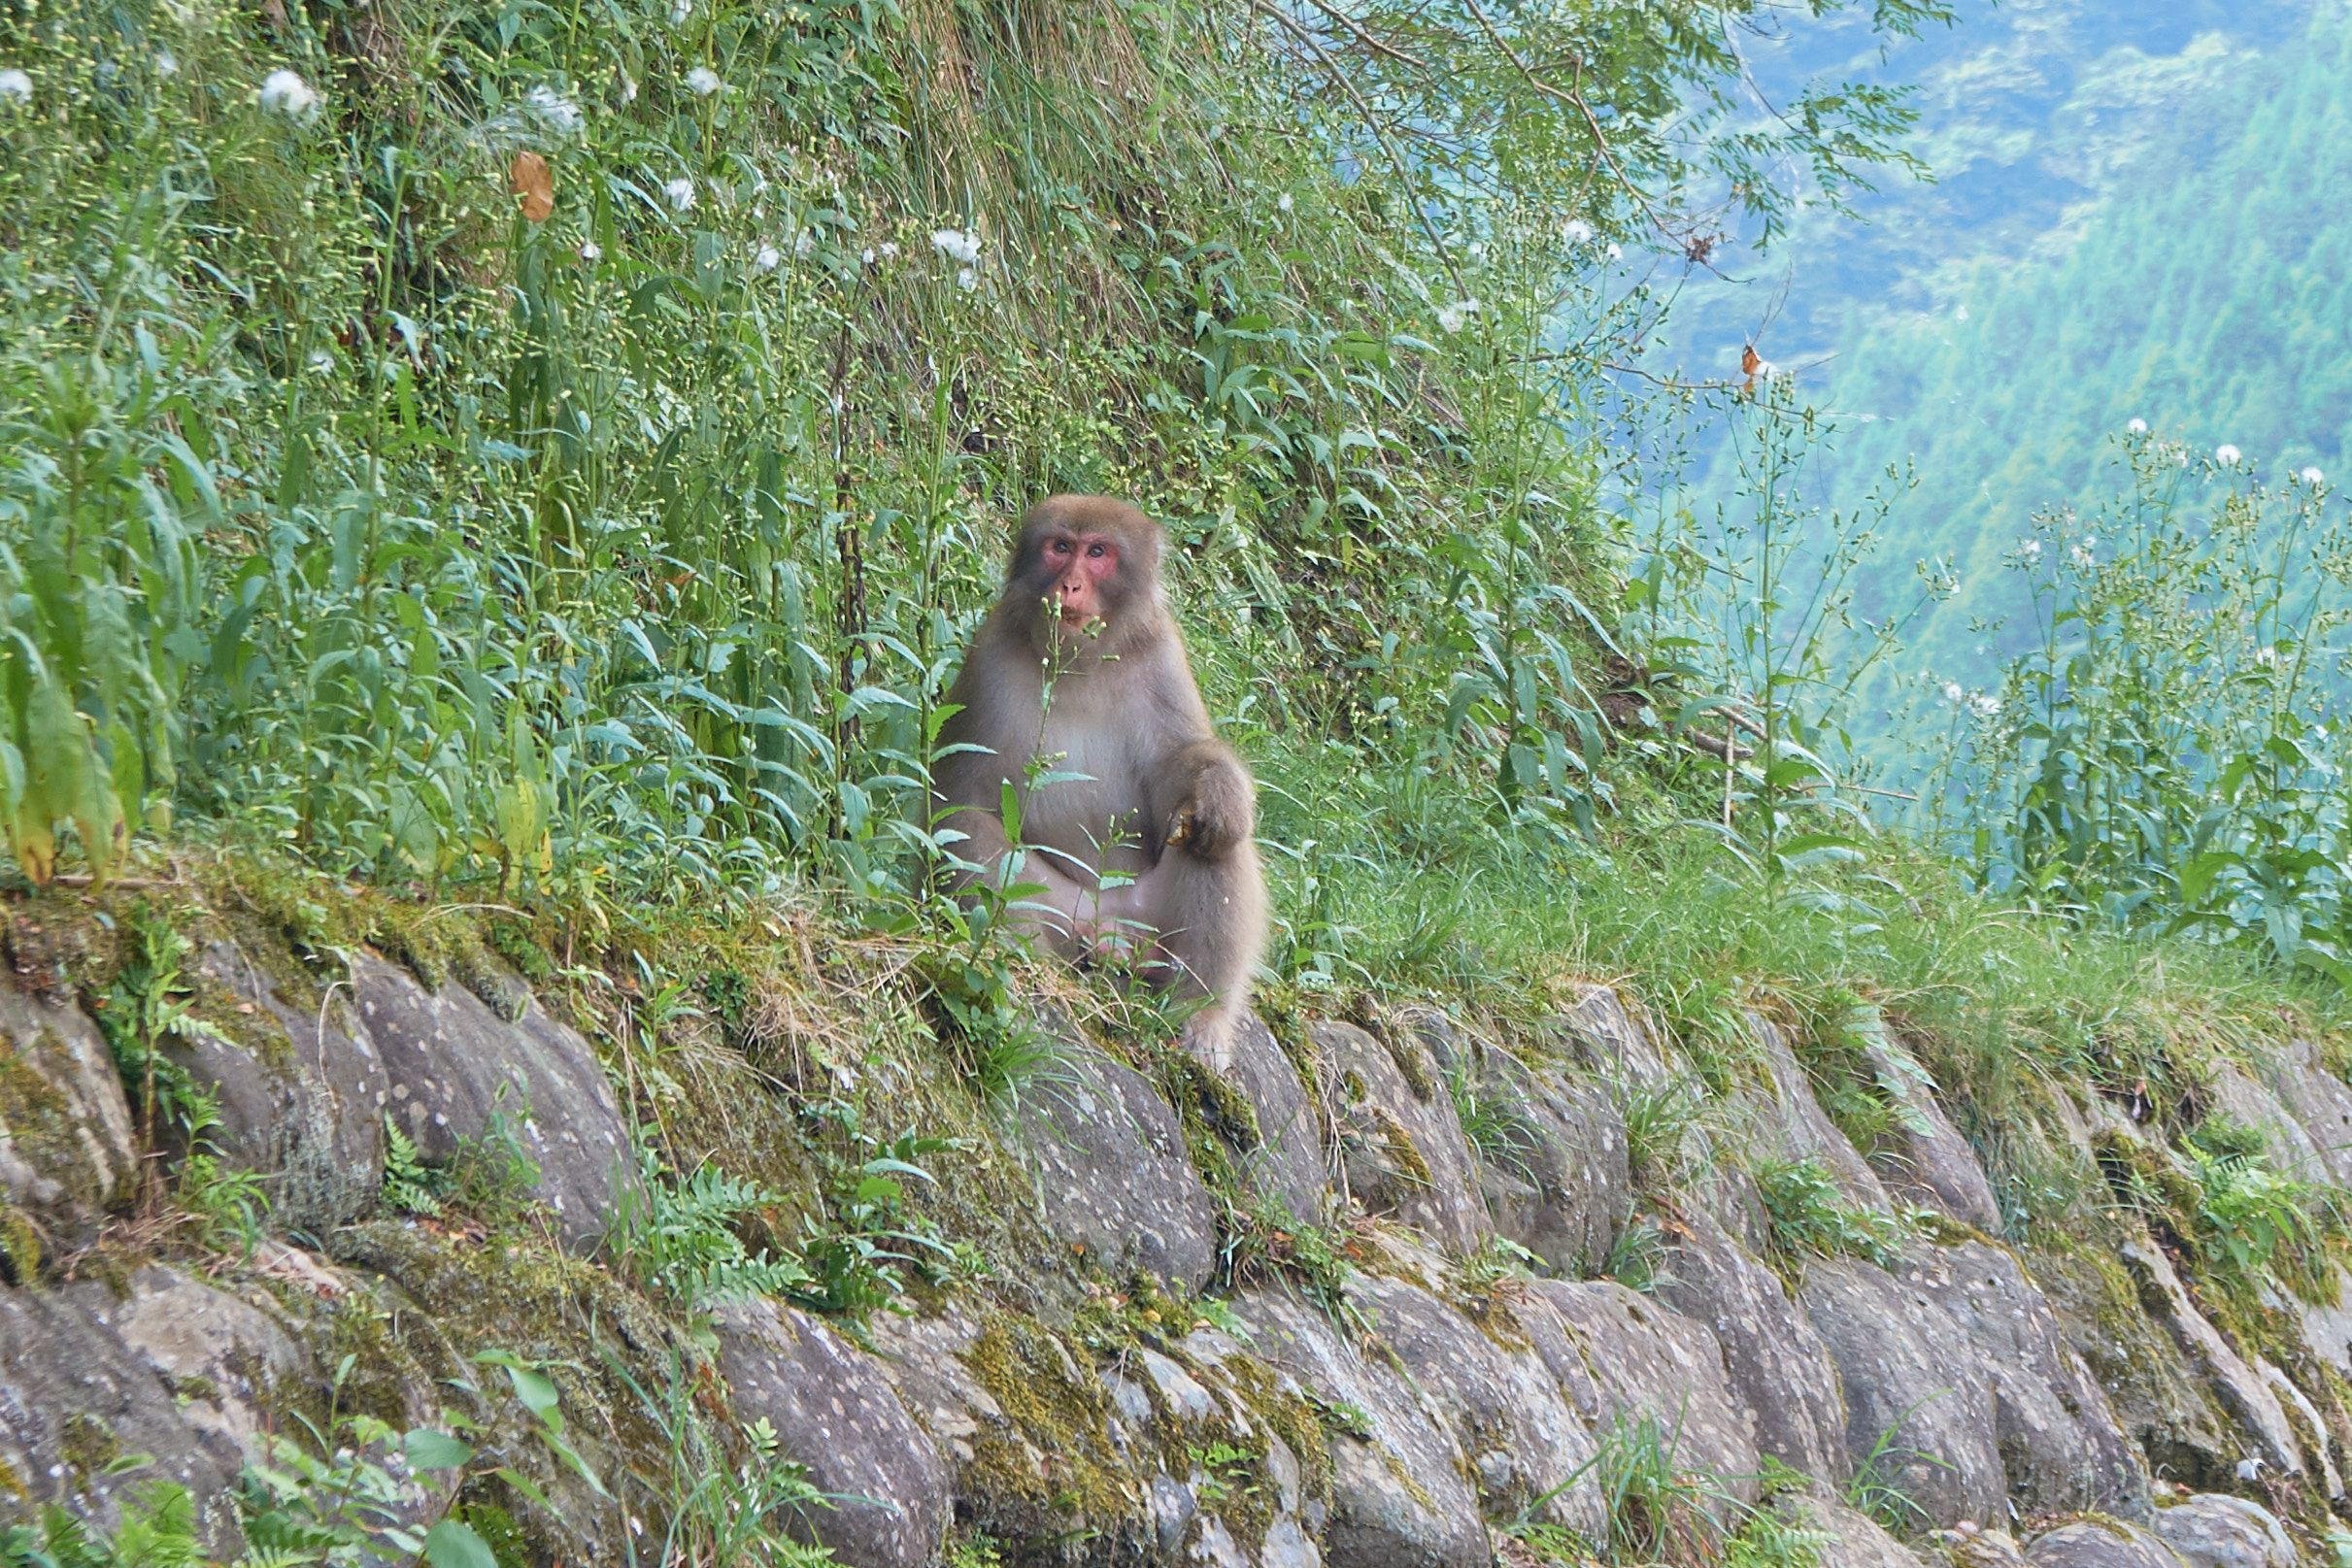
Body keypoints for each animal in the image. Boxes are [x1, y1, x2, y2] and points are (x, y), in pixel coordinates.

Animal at [934, 494, 1268, 1062]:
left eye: (1097, 553)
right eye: (1060, 547)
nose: (1069, 583)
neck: (1081, 661)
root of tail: (1112, 923)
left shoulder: (1161, 654)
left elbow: (1177, 770)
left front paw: (1219, 788)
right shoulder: (990, 657)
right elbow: (960, 802)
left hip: (1153, 924)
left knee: (1209, 841)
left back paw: (1201, 1015)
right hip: (1063, 915)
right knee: (981, 841)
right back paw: (1026, 963)